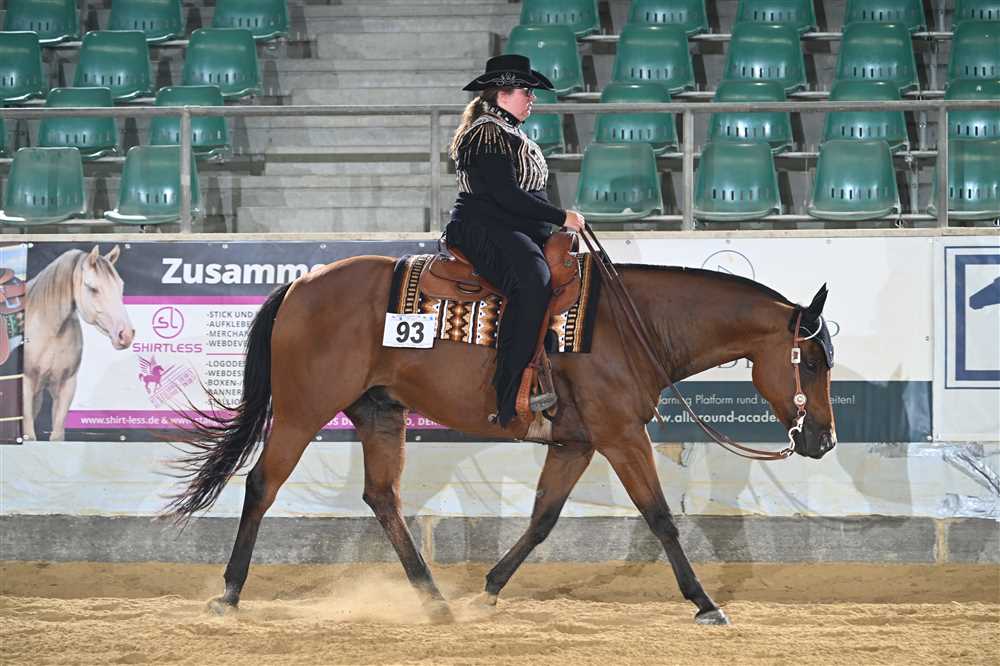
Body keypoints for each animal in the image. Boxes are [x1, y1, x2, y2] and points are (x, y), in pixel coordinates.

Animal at [23, 246, 135, 441]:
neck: (49, 330)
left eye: (120, 286)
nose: (126, 334)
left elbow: (57, 435)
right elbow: (29, 435)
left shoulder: (66, 386)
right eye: (92, 288)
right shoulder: (26, 384)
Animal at [166, 253, 837, 626]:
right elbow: (661, 518)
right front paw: (704, 602)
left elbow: (542, 519)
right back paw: (228, 594)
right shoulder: (621, 436)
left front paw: (487, 590)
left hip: (379, 413)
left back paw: (435, 601)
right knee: (261, 484)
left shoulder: (574, 444)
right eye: (809, 362)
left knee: (382, 498)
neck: (633, 324)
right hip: (303, 412)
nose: (824, 441)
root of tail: (300, 286)